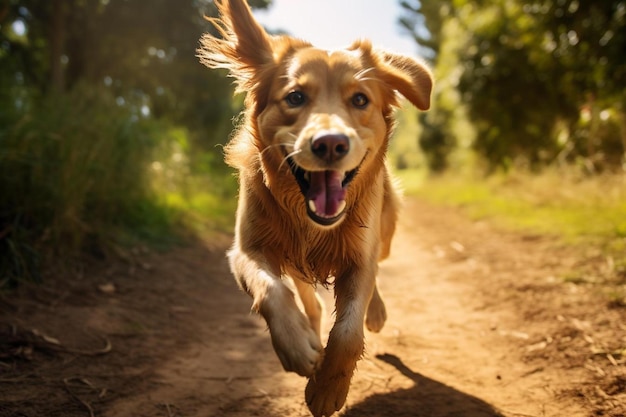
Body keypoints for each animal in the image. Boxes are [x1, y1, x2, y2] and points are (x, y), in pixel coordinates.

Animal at [197, 1, 432, 414]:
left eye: (360, 100)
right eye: (294, 97)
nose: (330, 144)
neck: (310, 221)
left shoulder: (359, 258)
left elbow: (350, 329)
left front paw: (327, 389)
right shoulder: (245, 251)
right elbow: (271, 290)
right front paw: (298, 346)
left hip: (386, 232)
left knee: (377, 271)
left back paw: (376, 312)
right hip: (295, 263)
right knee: (311, 302)